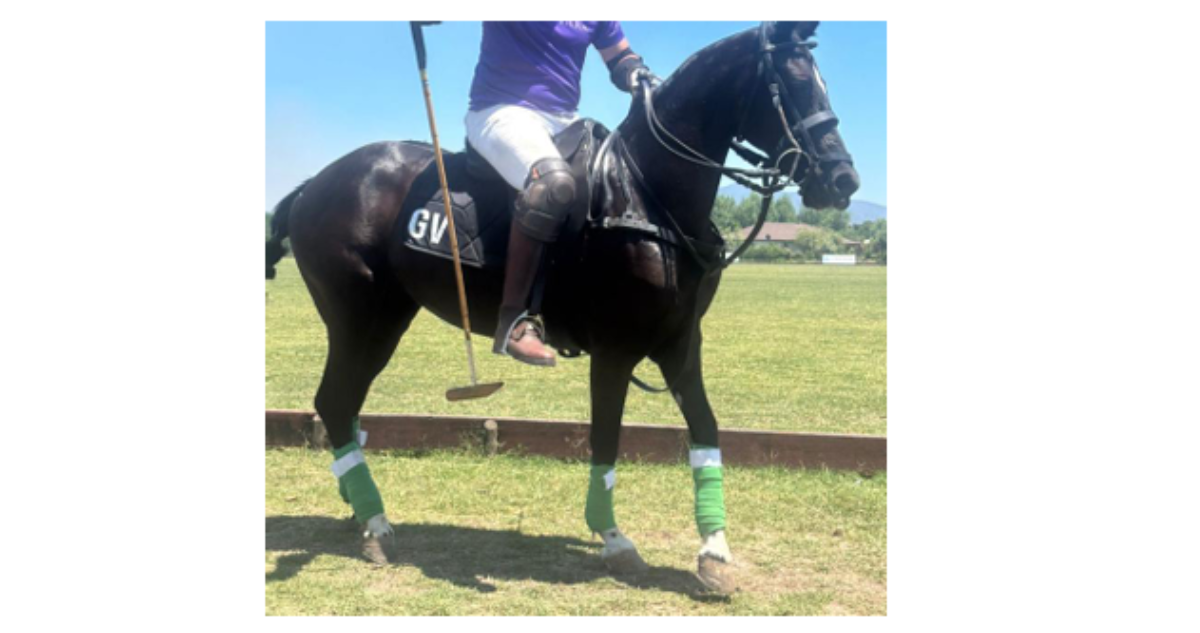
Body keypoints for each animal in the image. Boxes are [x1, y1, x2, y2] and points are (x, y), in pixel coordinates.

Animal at [265, 21, 859, 595]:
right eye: (791, 83)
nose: (842, 179)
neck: (650, 195)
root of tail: (311, 185)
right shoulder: (616, 346)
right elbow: (605, 435)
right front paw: (615, 540)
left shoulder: (680, 341)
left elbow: (707, 430)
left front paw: (714, 553)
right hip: (360, 314)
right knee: (335, 400)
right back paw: (376, 523)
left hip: (385, 316)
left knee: (346, 403)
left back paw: (355, 505)